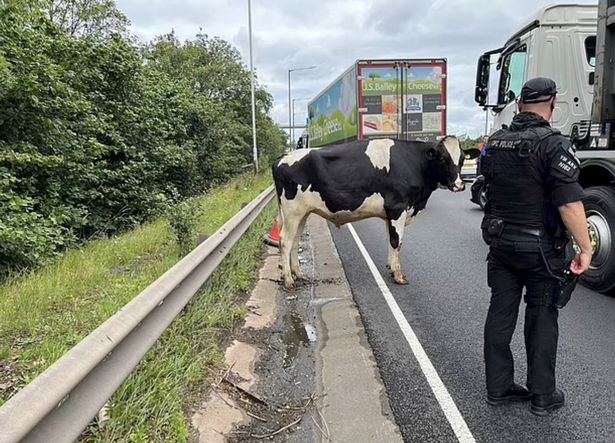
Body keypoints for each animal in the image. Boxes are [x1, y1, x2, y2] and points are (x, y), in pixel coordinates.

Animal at [272, 137, 464, 290]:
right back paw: (289, 280)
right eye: (443, 159)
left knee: (295, 241)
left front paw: (391, 268)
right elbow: (397, 242)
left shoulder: (390, 214)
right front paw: (398, 276)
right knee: (285, 241)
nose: (460, 185)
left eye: (461, 159)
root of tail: (281, 158)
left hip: (301, 213)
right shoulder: (398, 208)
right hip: (293, 211)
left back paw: (298, 274)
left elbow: (391, 239)